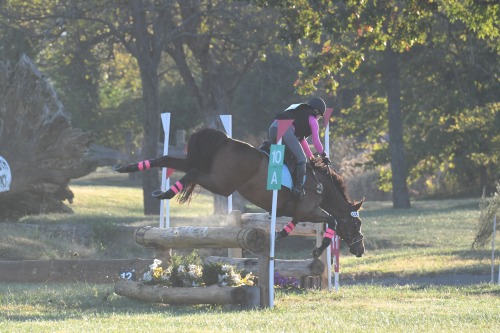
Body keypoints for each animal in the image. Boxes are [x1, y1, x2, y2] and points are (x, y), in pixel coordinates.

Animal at [113, 127, 366, 256]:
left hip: (203, 164)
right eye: (357, 224)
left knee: (166, 159)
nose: (360, 249)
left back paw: (127, 168)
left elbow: (306, 222)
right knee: (193, 173)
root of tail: (225, 140)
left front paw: (279, 235)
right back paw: (165, 194)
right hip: (222, 183)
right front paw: (318, 249)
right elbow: (333, 220)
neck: (321, 186)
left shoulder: (301, 212)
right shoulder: (308, 210)